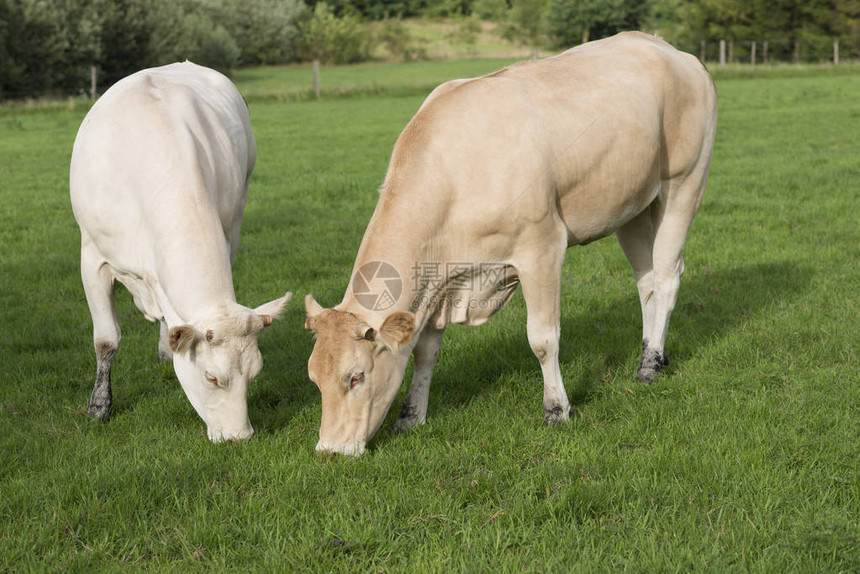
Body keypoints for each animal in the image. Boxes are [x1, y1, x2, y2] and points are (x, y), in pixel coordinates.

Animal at [69, 62, 290, 440]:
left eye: (256, 372)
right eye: (211, 377)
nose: (241, 437)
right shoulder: (93, 259)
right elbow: (106, 340)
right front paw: (99, 407)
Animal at [306, 33, 716, 456]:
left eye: (356, 376)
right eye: (313, 379)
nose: (329, 451)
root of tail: (665, 47)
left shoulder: (541, 248)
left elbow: (542, 339)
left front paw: (558, 410)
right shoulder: (440, 280)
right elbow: (425, 351)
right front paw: (411, 417)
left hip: (685, 181)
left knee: (667, 278)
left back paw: (650, 367)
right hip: (631, 205)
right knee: (646, 283)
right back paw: (650, 356)